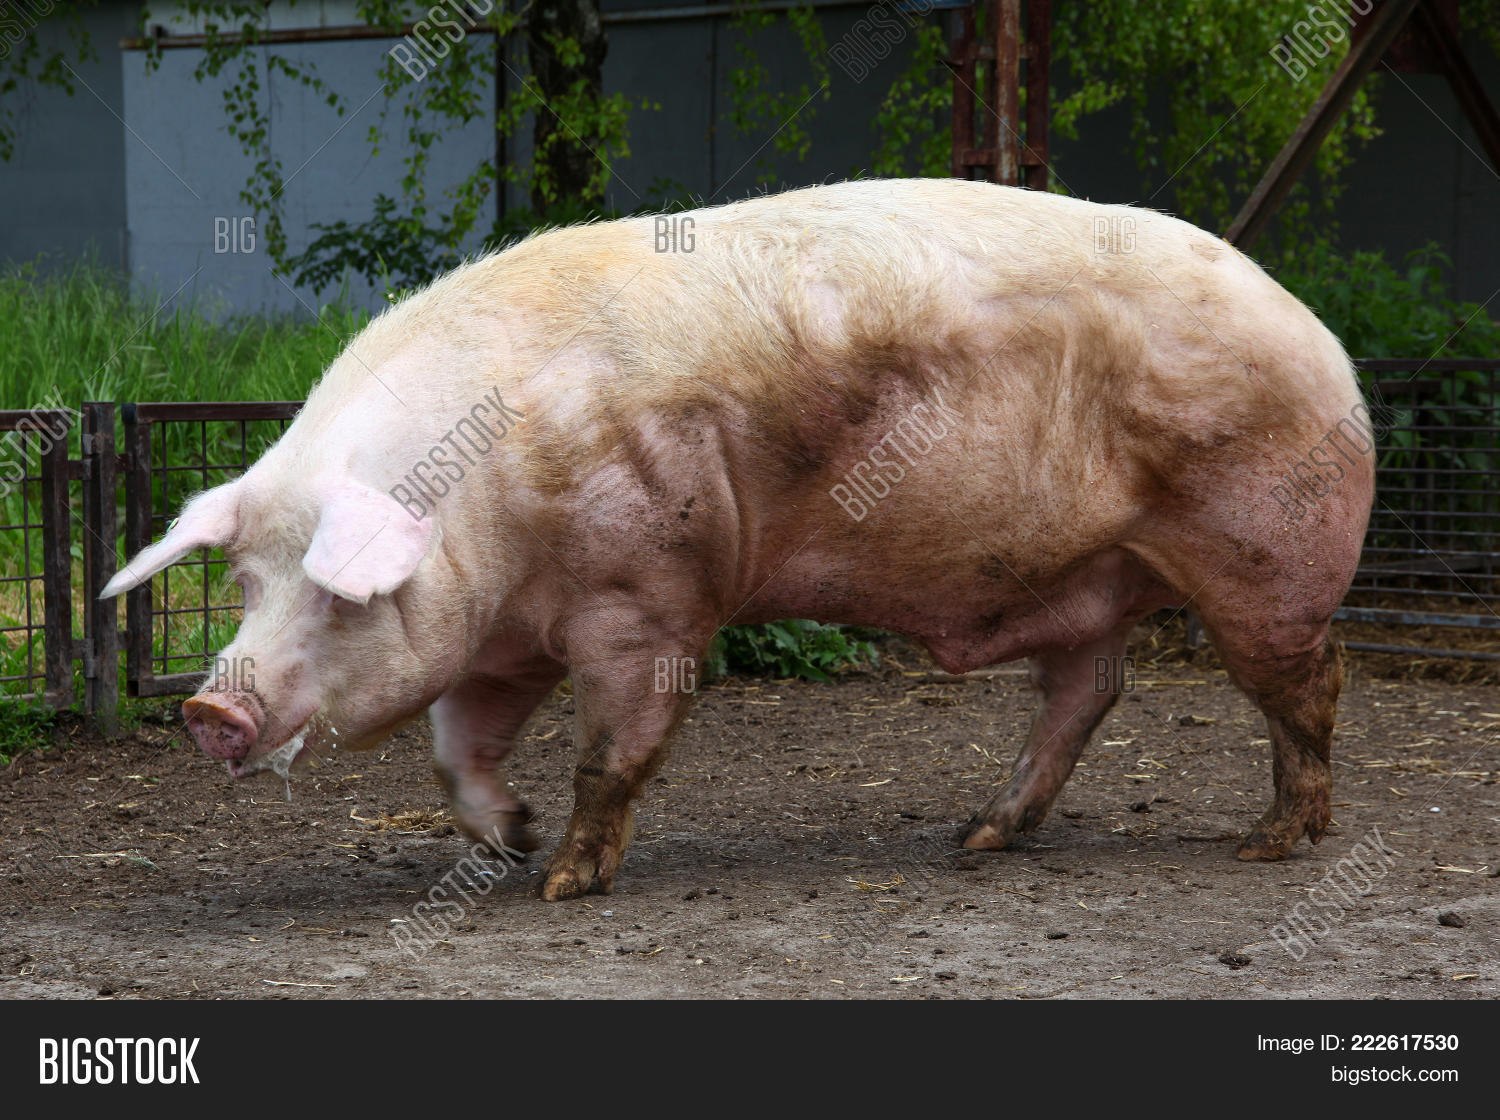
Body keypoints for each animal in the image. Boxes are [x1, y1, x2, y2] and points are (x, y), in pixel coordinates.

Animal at [99, 183, 1374, 899]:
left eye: (338, 597)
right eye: (245, 580)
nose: (209, 706)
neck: (493, 507)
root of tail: (1331, 345)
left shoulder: (649, 593)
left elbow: (615, 747)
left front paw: (562, 885)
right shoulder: (499, 633)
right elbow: (457, 748)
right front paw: (509, 842)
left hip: (1265, 553)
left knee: (1311, 682)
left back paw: (1273, 845)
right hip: (1091, 577)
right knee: (1086, 691)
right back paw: (977, 837)